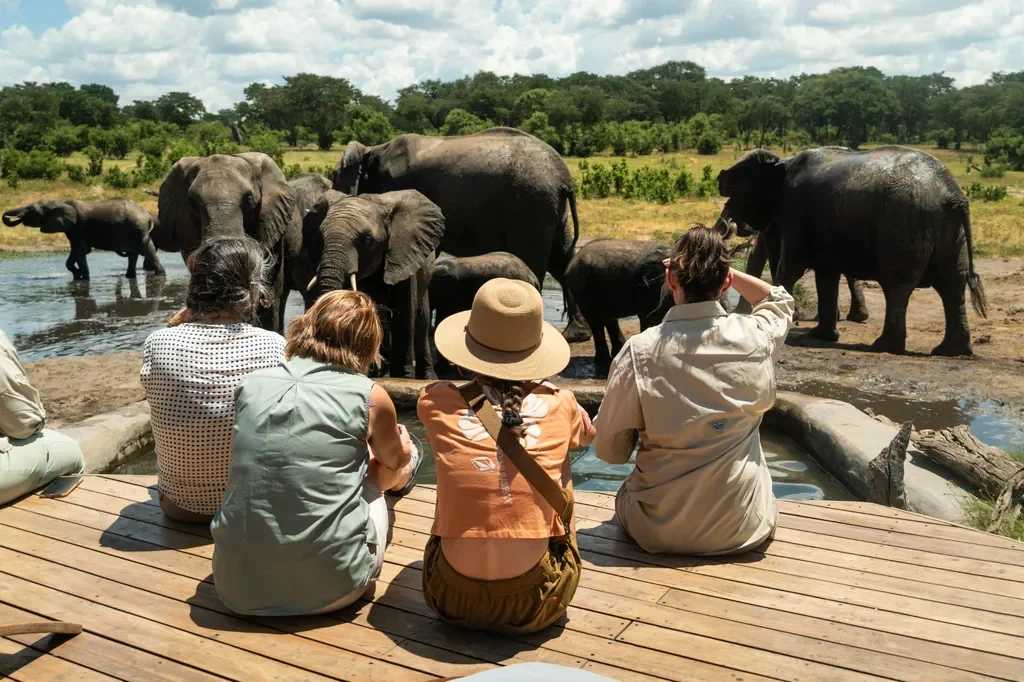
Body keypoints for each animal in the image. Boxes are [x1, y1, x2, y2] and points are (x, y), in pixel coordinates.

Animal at [2, 199, 164, 280]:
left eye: (31, 210)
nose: (11, 217)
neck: (59, 202)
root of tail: (148, 216)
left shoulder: (78, 226)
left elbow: (80, 251)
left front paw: (84, 278)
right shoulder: (71, 229)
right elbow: (77, 251)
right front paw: (77, 275)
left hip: (137, 228)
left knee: (146, 249)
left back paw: (160, 274)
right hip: (135, 229)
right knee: (136, 252)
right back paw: (130, 276)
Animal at [302, 189, 445, 379]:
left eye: (367, 241)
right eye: (320, 238)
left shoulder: (404, 254)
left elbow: (406, 314)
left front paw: (403, 376)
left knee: (421, 319)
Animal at [332, 127, 591, 343]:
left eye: (335, 177)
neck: (374, 149)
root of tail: (564, 178)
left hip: (532, 204)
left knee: (534, 259)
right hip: (550, 208)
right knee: (562, 261)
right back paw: (575, 335)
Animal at [564, 238, 672, 376]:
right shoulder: (650, 289)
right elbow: (651, 318)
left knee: (609, 319)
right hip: (584, 286)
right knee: (596, 321)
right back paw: (604, 365)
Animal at [715, 146, 987, 356]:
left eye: (736, 191)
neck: (781, 163)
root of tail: (954, 195)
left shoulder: (796, 210)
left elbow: (791, 266)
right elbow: (826, 276)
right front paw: (821, 336)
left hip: (904, 224)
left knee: (898, 284)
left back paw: (885, 346)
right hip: (947, 229)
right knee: (952, 284)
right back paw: (952, 351)